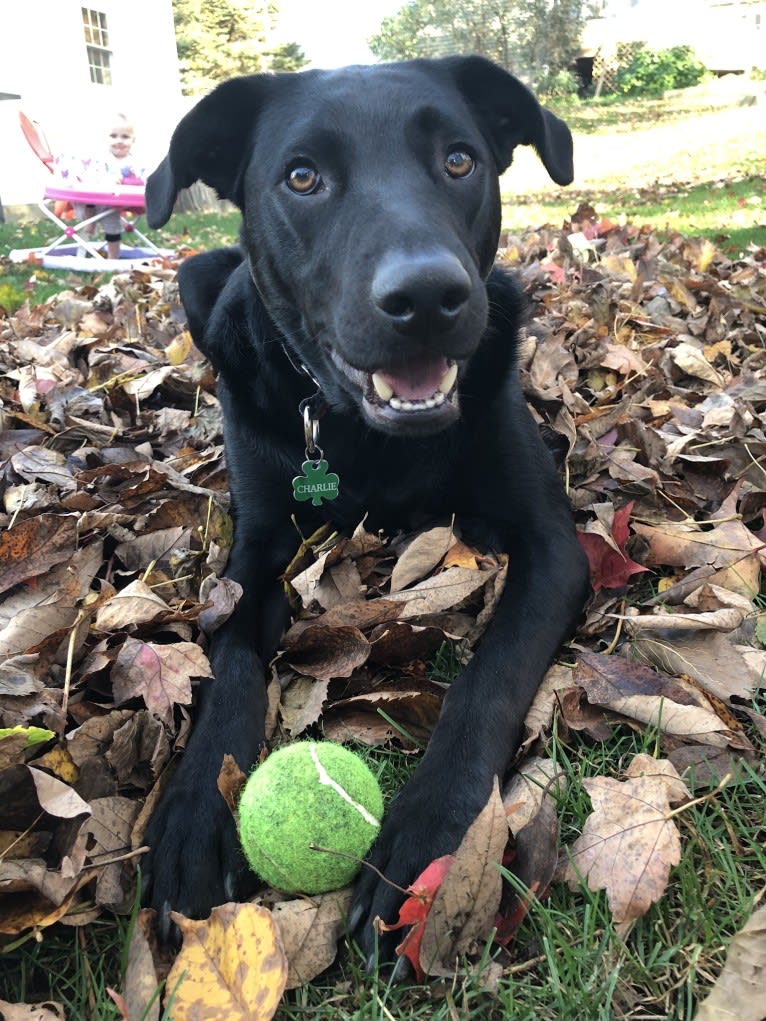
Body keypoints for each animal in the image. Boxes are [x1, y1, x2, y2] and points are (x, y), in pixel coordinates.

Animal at [144, 55, 588, 959]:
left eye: (459, 160)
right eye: (302, 177)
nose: (427, 295)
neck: (363, 433)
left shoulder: (553, 544)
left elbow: (489, 675)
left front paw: (433, 836)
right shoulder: (255, 546)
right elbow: (229, 656)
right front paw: (194, 811)